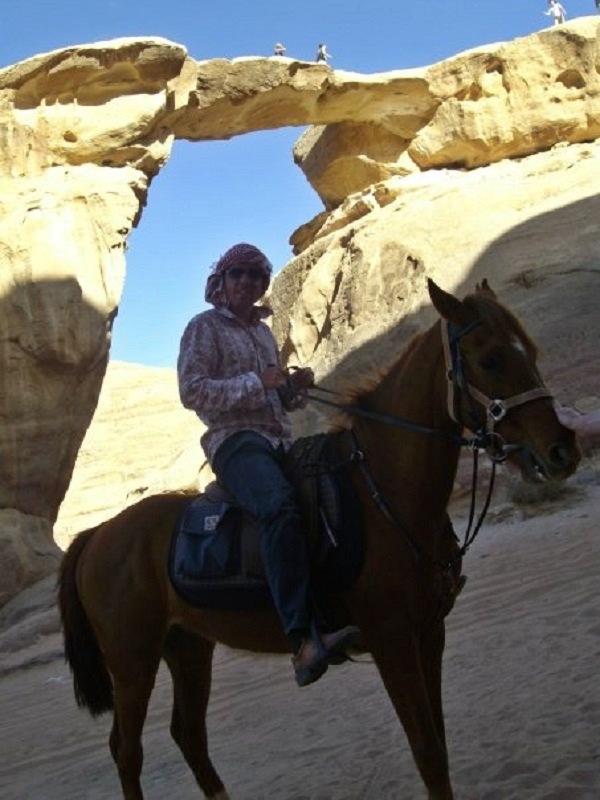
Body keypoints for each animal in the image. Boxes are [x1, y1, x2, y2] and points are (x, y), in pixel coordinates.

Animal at [58, 278, 580, 796]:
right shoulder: (391, 639)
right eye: (490, 358)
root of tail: (96, 535)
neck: (382, 492)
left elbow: (440, 745)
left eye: (530, 350)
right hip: (132, 662)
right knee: (127, 751)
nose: (563, 451)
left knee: (188, 735)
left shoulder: (431, 631)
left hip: (187, 646)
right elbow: (428, 752)